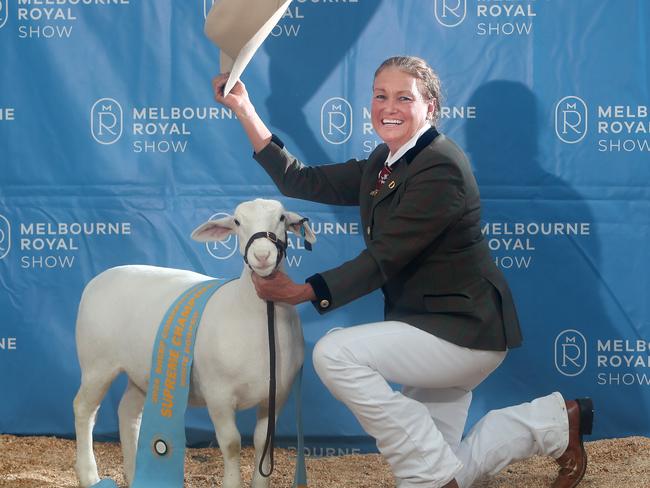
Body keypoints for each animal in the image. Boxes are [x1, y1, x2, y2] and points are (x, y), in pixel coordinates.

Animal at [73, 199, 316, 488]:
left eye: (281, 218)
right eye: (237, 222)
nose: (262, 256)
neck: (253, 315)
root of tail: (97, 280)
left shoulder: (277, 395)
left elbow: (262, 443)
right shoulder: (218, 394)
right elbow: (232, 443)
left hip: (142, 371)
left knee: (127, 412)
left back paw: (133, 475)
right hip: (97, 363)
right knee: (84, 408)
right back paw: (88, 475)